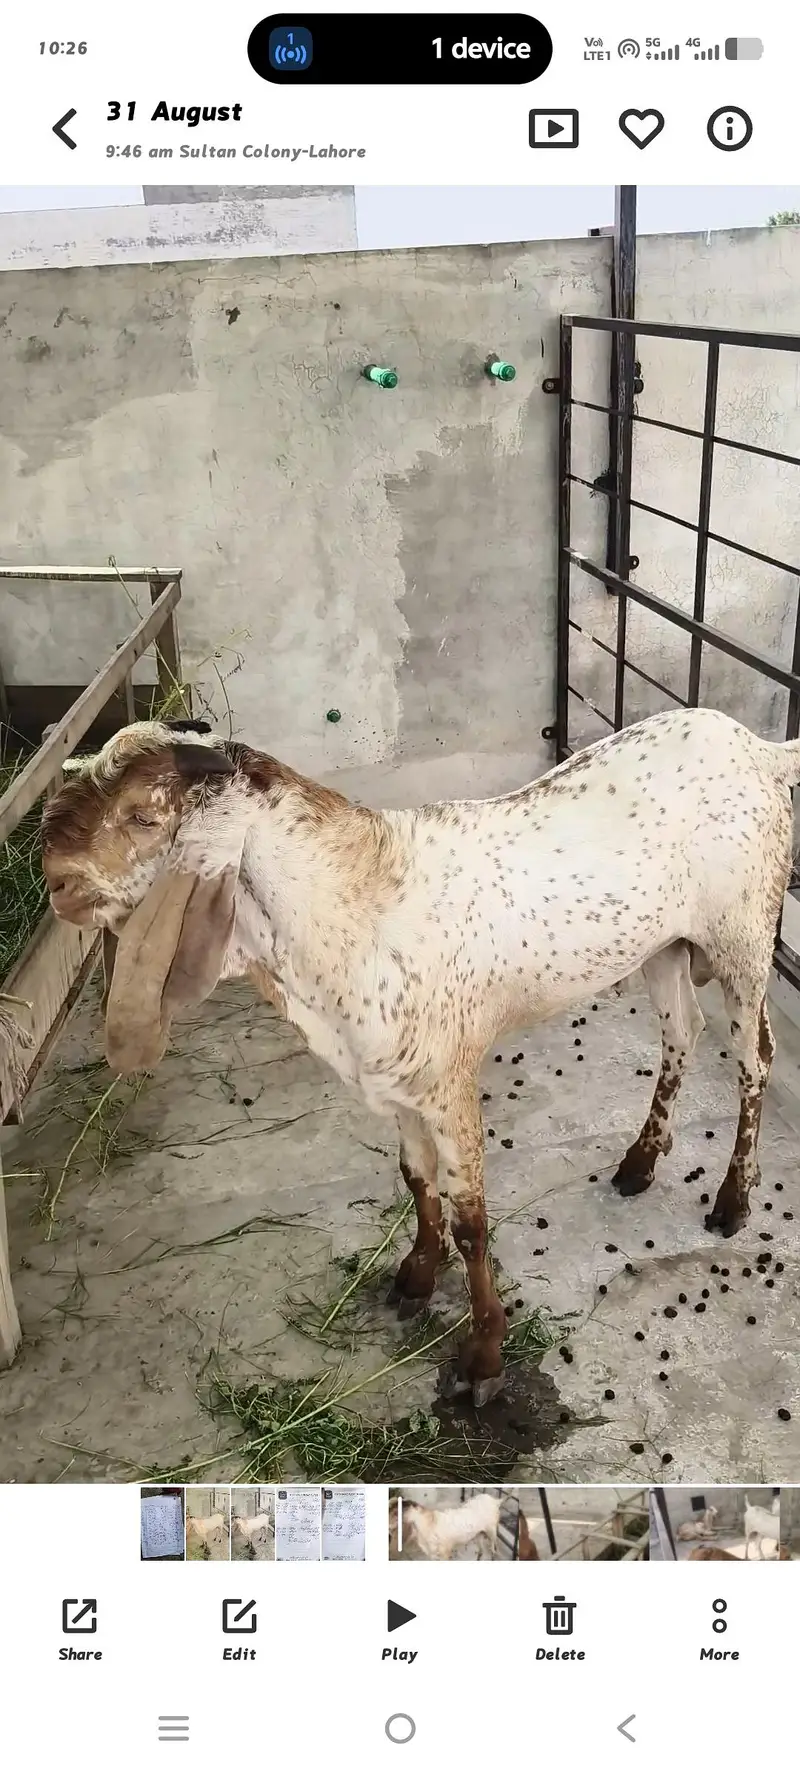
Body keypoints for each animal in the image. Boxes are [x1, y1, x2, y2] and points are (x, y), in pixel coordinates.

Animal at [40, 705, 800, 1406]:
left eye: (142, 816)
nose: (55, 880)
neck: (355, 909)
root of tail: (758, 747)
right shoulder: (395, 1085)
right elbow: (414, 1181)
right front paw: (414, 1275)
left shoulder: (448, 1083)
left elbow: (473, 1225)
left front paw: (484, 1357)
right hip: (668, 946)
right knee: (682, 1032)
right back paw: (641, 1161)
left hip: (744, 936)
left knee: (754, 1057)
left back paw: (733, 1199)